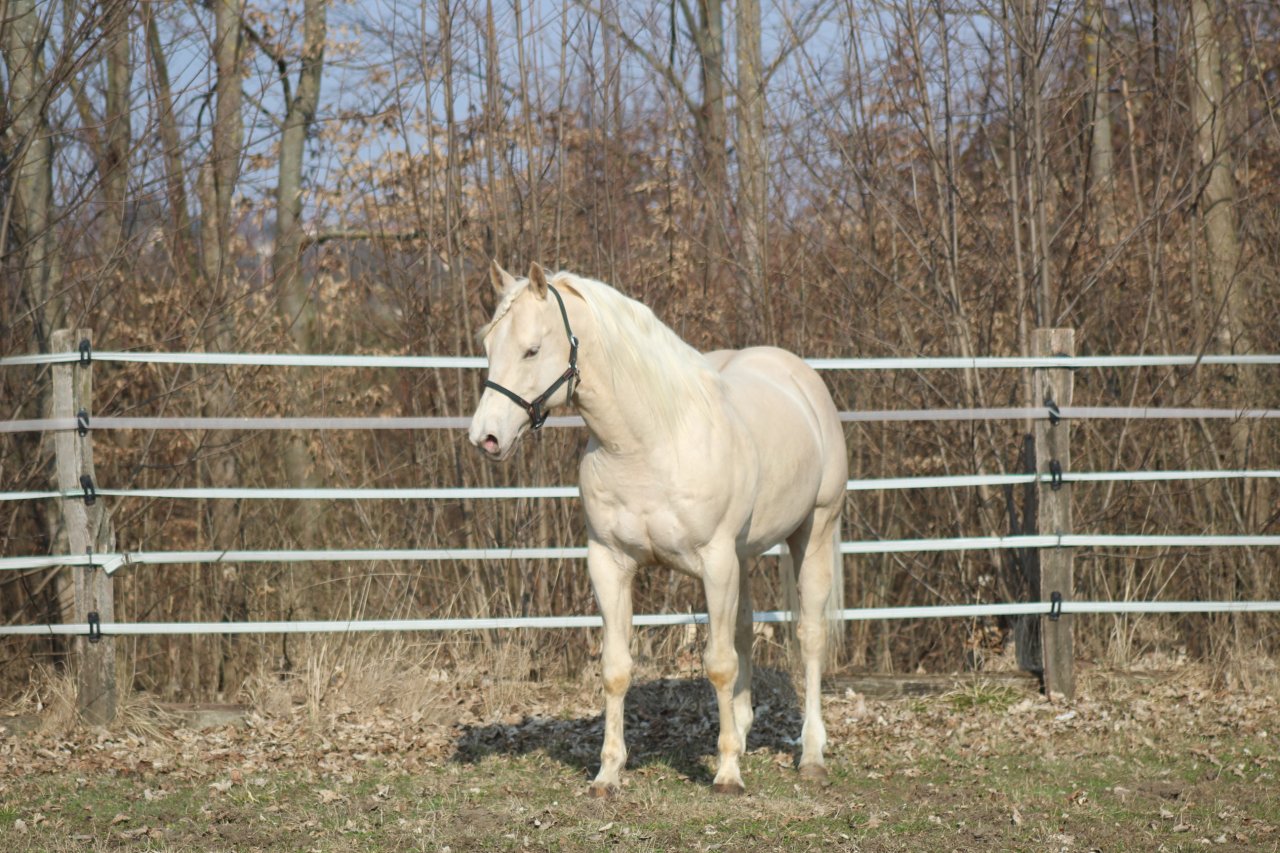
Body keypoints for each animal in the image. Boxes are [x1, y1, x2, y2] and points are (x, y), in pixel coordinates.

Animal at [468, 261, 848, 796]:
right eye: (488, 346)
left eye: (532, 349)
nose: (485, 437)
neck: (648, 443)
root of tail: (801, 378)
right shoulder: (609, 564)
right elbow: (616, 669)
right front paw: (607, 774)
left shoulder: (715, 562)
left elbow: (718, 664)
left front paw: (727, 773)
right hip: (744, 556)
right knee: (745, 630)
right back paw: (743, 732)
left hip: (813, 532)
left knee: (810, 638)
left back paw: (811, 754)